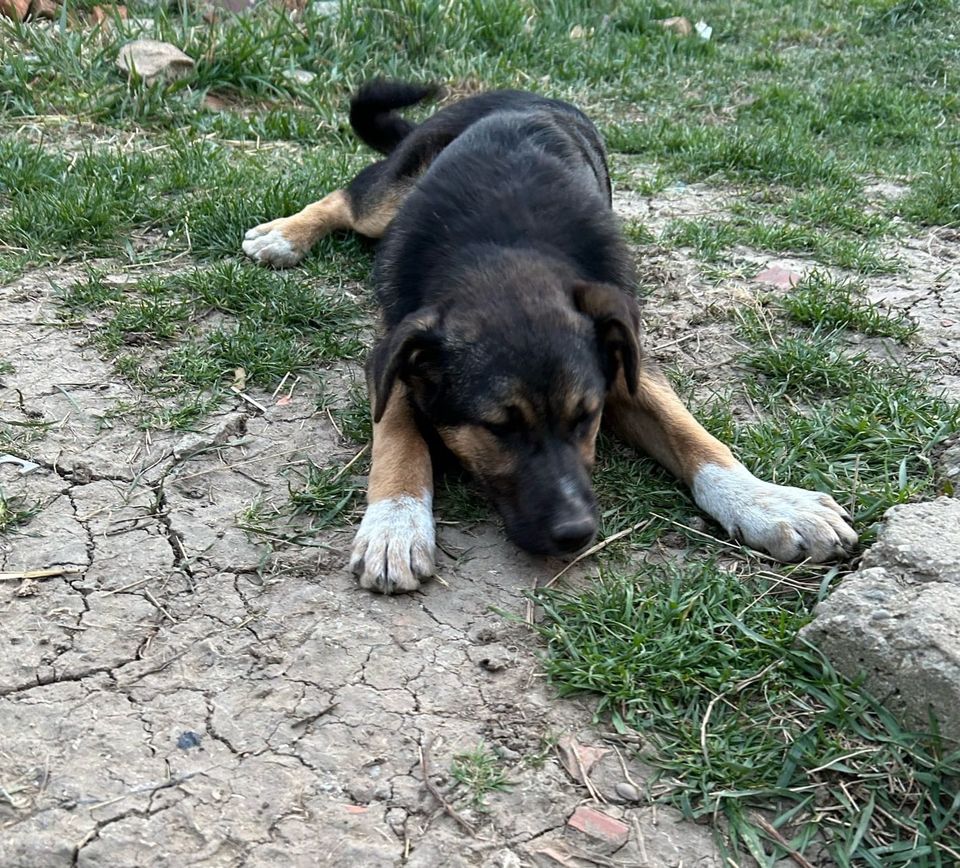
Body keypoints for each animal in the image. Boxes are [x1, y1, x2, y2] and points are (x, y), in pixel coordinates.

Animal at [244, 81, 860, 592]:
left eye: (587, 417)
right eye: (498, 429)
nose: (576, 534)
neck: (501, 247)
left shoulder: (625, 358)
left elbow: (695, 437)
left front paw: (768, 503)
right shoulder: (397, 345)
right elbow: (395, 428)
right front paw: (396, 522)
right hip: (391, 196)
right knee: (348, 197)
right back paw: (284, 234)